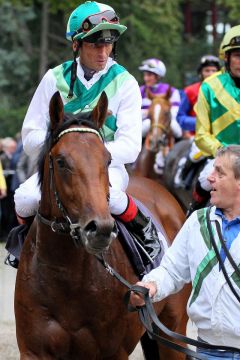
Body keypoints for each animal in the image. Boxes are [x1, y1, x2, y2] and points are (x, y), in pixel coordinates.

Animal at [15, 91, 191, 358]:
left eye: (107, 160)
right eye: (61, 161)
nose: (100, 229)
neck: (66, 275)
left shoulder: (113, 351)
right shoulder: (34, 350)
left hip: (172, 328)